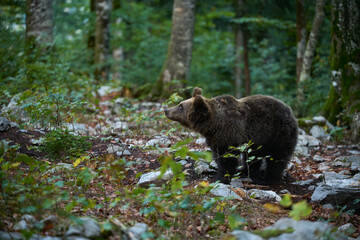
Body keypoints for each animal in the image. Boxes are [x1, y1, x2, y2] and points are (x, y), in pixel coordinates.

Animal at [164, 87, 298, 185]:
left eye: (180, 106)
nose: (166, 110)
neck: (213, 125)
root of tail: (291, 112)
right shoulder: (215, 137)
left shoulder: (228, 134)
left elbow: (226, 158)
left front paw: (220, 177)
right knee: (254, 156)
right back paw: (246, 171)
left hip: (277, 134)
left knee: (277, 159)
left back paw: (268, 179)